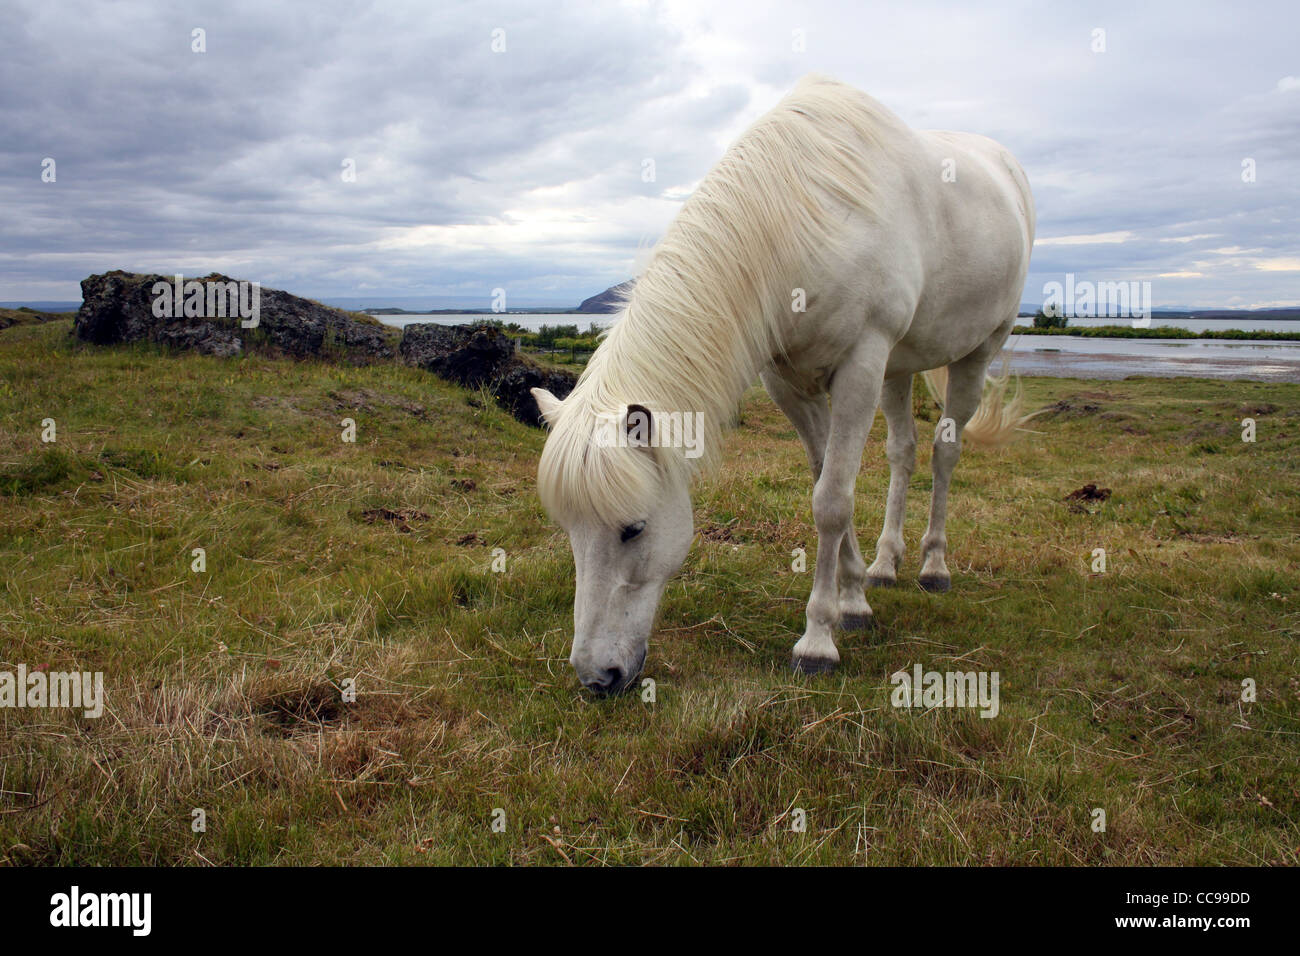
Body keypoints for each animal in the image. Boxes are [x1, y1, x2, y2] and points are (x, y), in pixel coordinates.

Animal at [531, 74, 1036, 695]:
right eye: (570, 531)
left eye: (633, 529)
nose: (596, 677)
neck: (803, 219)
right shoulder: (789, 383)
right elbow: (827, 482)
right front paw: (853, 599)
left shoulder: (861, 365)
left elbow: (833, 502)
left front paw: (818, 639)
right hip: (899, 369)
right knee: (904, 452)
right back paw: (886, 564)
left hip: (975, 353)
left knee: (945, 452)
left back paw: (934, 566)